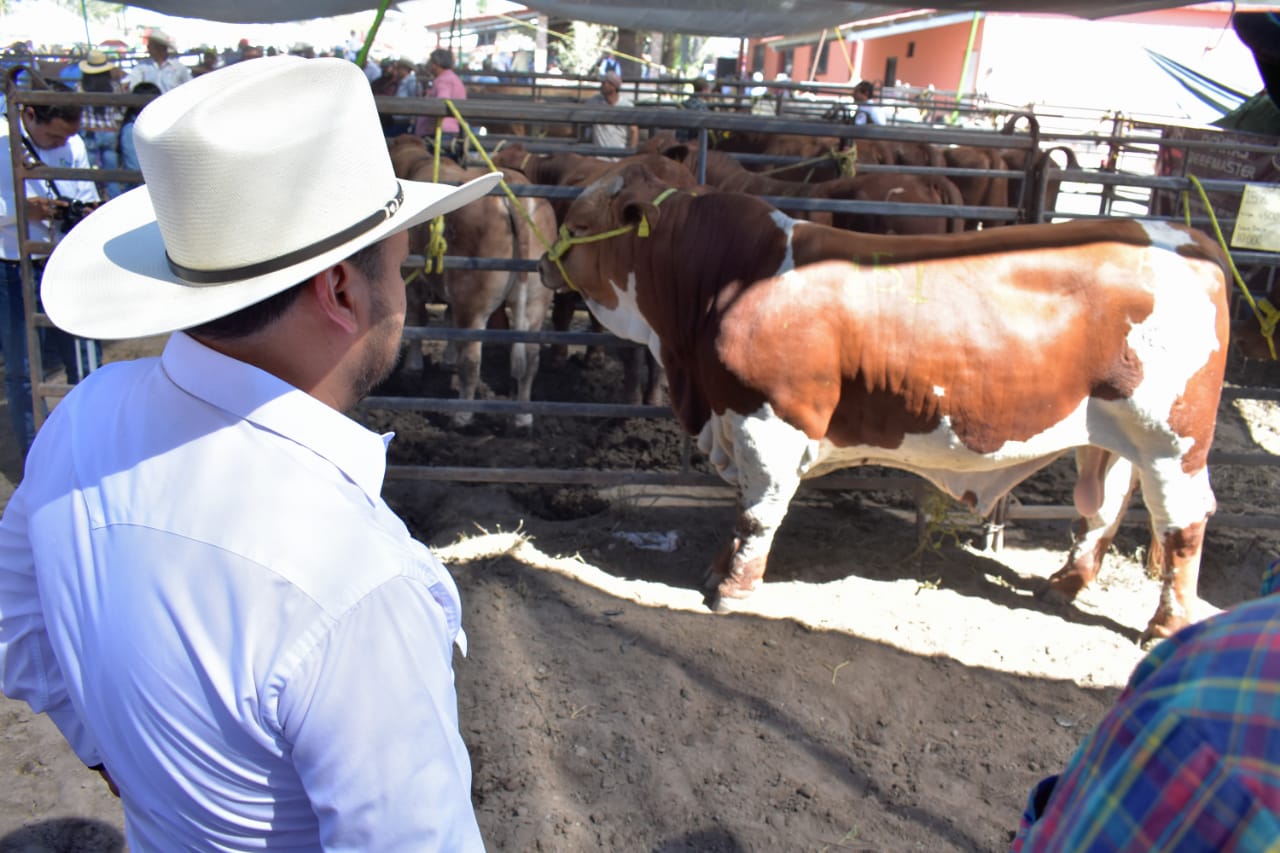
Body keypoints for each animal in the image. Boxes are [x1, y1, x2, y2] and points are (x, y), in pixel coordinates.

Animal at [537, 161, 1228, 637]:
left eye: (578, 224)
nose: (544, 261)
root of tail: (1188, 239)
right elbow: (744, 510)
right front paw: (719, 568)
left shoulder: (770, 419)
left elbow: (758, 511)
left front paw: (731, 587)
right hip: (1108, 433)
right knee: (1102, 508)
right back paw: (1065, 583)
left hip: (1174, 440)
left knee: (1183, 523)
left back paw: (1165, 624)